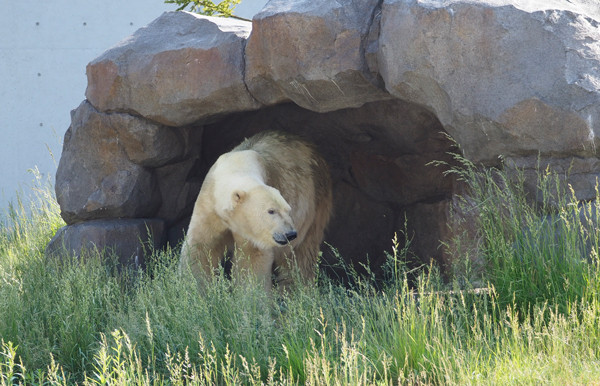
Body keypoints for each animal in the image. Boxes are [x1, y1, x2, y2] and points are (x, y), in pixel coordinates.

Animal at [180, 131, 336, 292]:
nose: (289, 234)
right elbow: (201, 248)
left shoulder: (254, 231)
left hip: (315, 205)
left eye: (288, 210)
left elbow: (252, 259)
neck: (237, 165)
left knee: (300, 255)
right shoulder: (209, 205)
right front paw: (192, 289)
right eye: (271, 211)